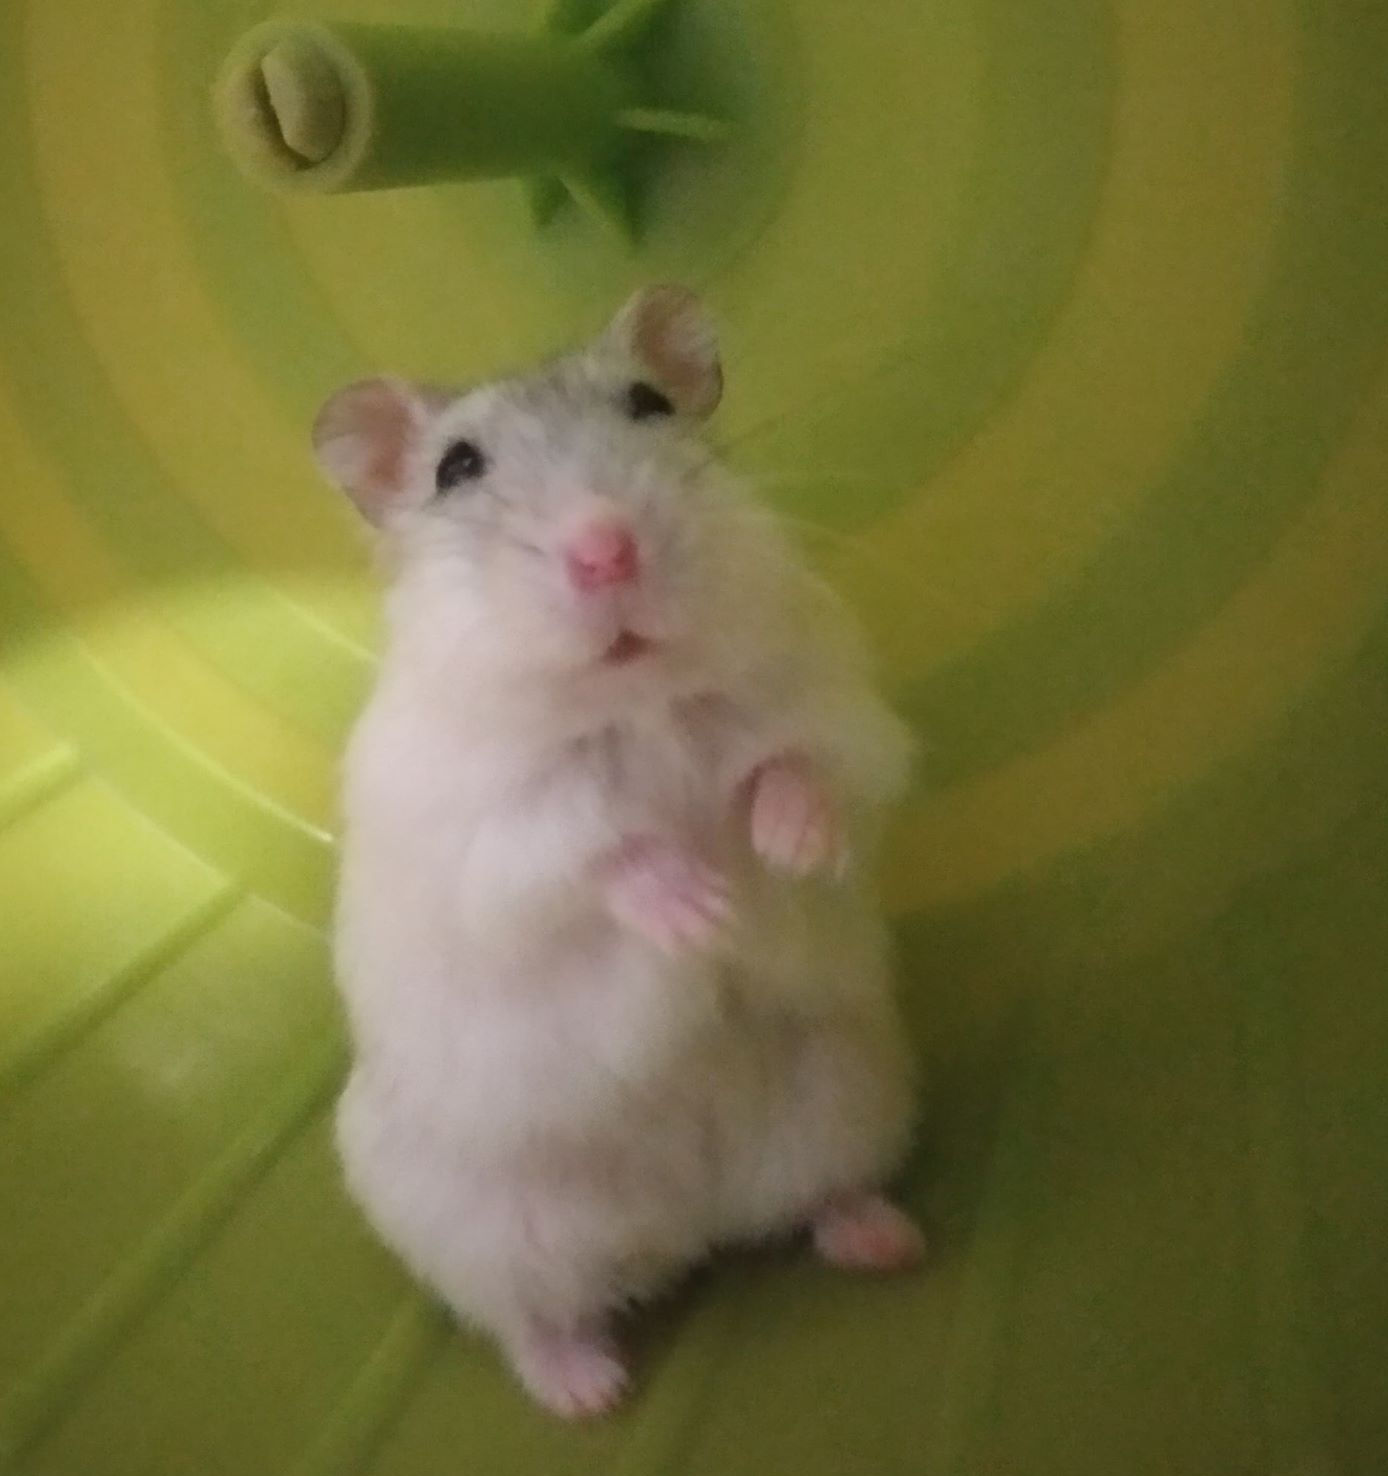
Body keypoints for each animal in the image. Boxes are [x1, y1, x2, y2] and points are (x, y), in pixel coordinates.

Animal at [315, 286, 922, 1419]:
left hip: (845, 1097)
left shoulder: (839, 709)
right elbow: (593, 858)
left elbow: (802, 767)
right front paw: (700, 908)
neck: (634, 702)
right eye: (456, 467)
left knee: (817, 1201)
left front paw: (786, 849)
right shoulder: (488, 837)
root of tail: (683, 1226)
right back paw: (588, 1393)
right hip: (480, 1231)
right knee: (527, 1318)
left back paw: (886, 1241)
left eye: (647, 404)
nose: (606, 547)